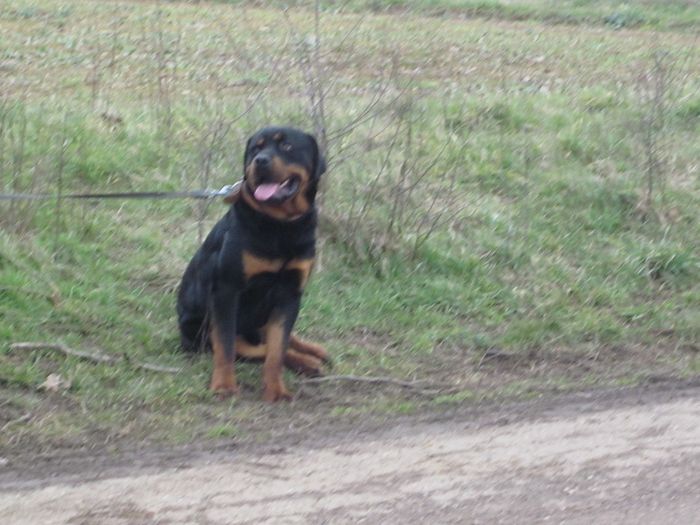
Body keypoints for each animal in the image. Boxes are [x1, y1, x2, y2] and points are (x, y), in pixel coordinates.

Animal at [175, 127, 328, 402]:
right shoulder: (227, 290)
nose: (261, 161)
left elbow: (277, 349)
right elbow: (227, 345)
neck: (280, 225)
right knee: (252, 346)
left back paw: (312, 352)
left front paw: (276, 389)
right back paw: (307, 361)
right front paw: (224, 385)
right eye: (256, 148)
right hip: (199, 331)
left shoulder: (290, 293)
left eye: (287, 146)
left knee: (275, 340)